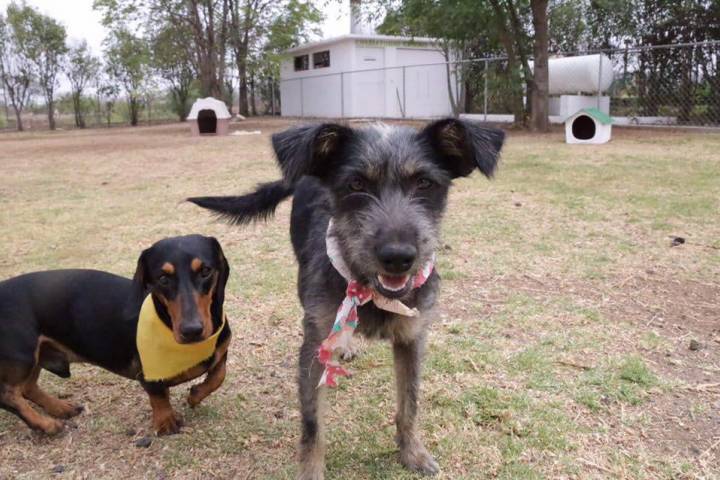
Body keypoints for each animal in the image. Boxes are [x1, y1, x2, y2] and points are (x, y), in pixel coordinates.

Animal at [191, 118, 506, 478]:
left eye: (425, 183)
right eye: (356, 184)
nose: (398, 257)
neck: (370, 290)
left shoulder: (412, 340)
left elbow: (409, 404)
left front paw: (412, 452)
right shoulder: (314, 347)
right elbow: (313, 426)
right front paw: (311, 473)